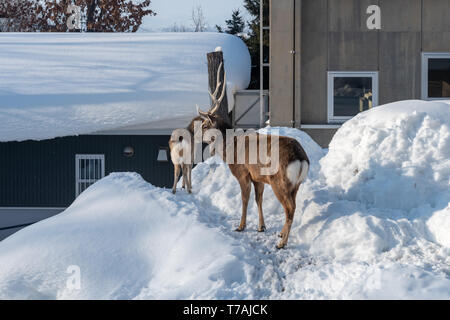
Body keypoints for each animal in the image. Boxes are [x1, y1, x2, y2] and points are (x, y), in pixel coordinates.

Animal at [190, 62, 310, 248]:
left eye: (204, 125)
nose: (193, 135)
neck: (230, 147)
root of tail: (301, 159)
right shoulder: (257, 177)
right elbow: (258, 199)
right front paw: (261, 226)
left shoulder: (242, 172)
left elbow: (245, 199)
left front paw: (241, 226)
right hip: (295, 184)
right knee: (293, 206)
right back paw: (281, 234)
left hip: (279, 181)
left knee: (290, 208)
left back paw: (281, 243)